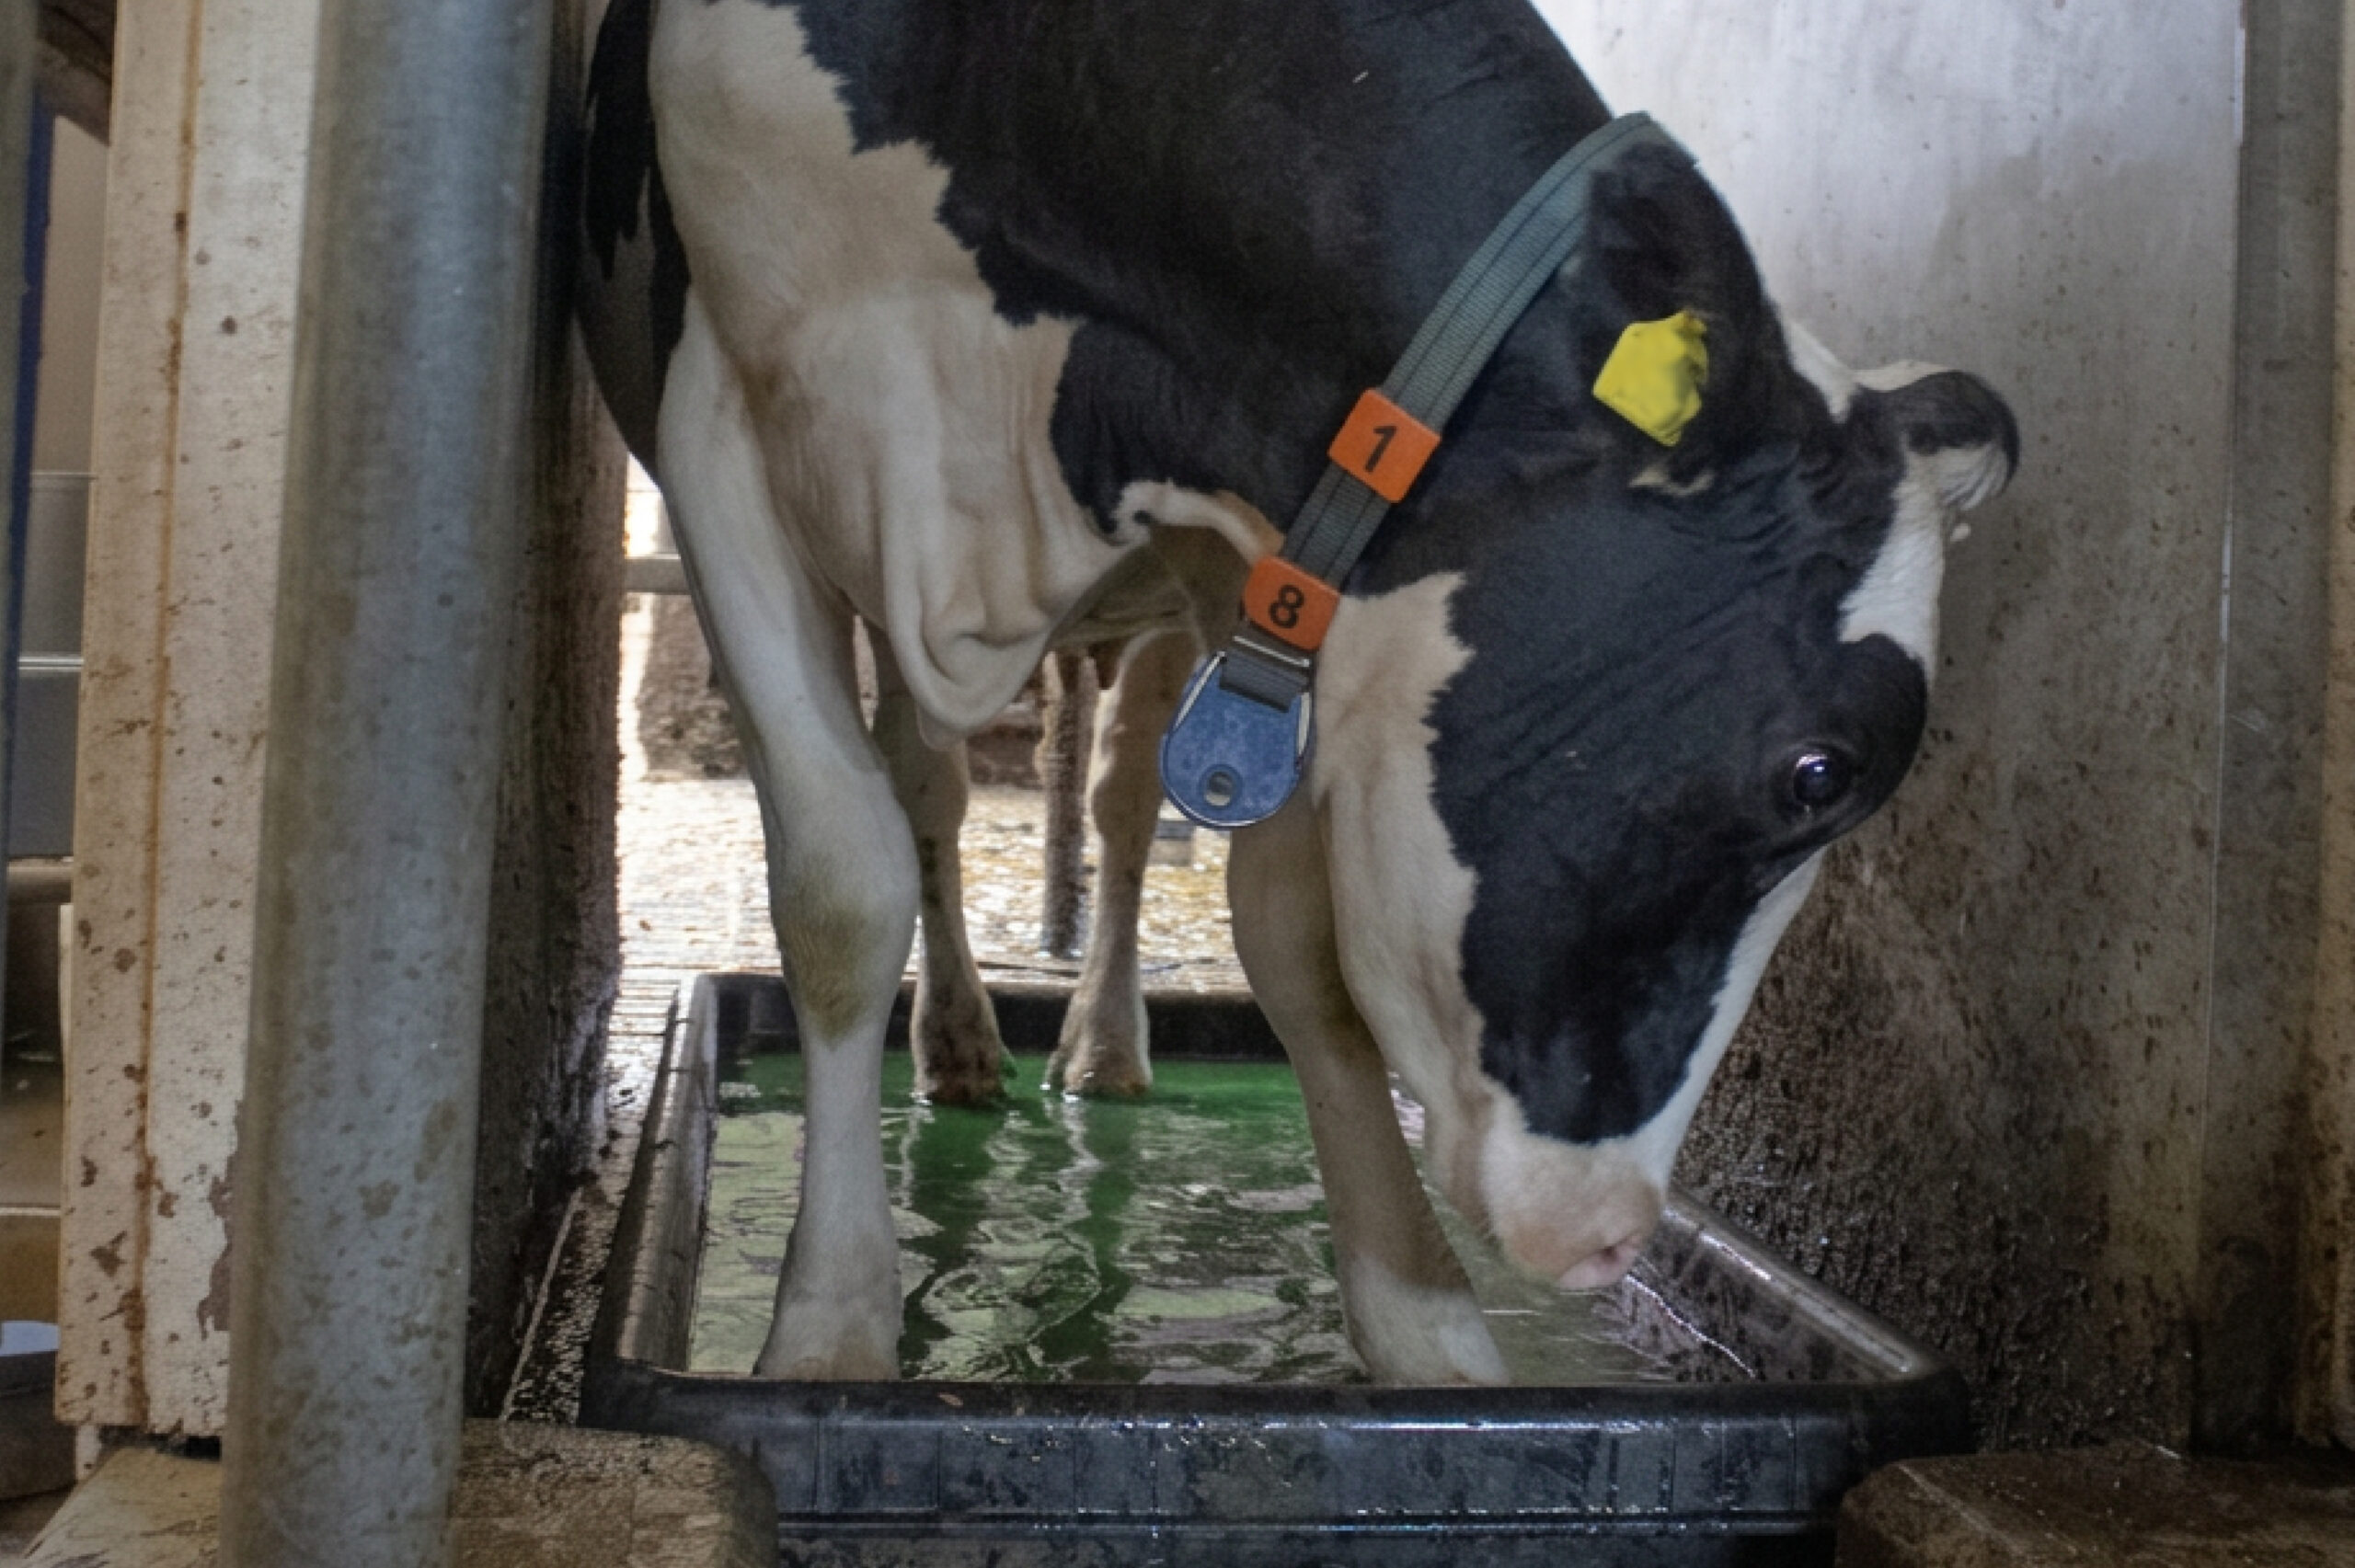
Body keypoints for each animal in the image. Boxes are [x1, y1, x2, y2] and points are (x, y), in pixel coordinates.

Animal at [579, 0, 2017, 1384]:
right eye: (1818, 772)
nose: (1610, 1237)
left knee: (1111, 802)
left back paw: (1101, 1045)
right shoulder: (720, 426)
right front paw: (826, 1325)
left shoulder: (1259, 535)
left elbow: (1298, 938)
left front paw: (1427, 1326)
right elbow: (840, 890)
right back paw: (961, 1042)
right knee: (926, 792)